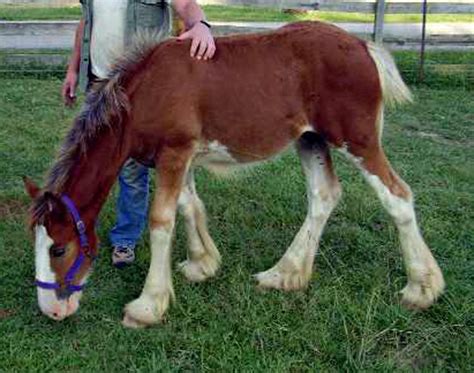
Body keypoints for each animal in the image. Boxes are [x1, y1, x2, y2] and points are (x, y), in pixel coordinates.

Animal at [24, 22, 442, 326]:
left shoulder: (175, 153)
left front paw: (148, 305)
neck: (144, 95)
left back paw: (421, 288)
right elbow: (188, 206)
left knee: (397, 196)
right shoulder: (178, 158)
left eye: (58, 248)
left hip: (356, 140)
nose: (52, 310)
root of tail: (362, 46)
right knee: (324, 195)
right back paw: (284, 273)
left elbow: (160, 220)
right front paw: (201, 264)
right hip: (311, 140)